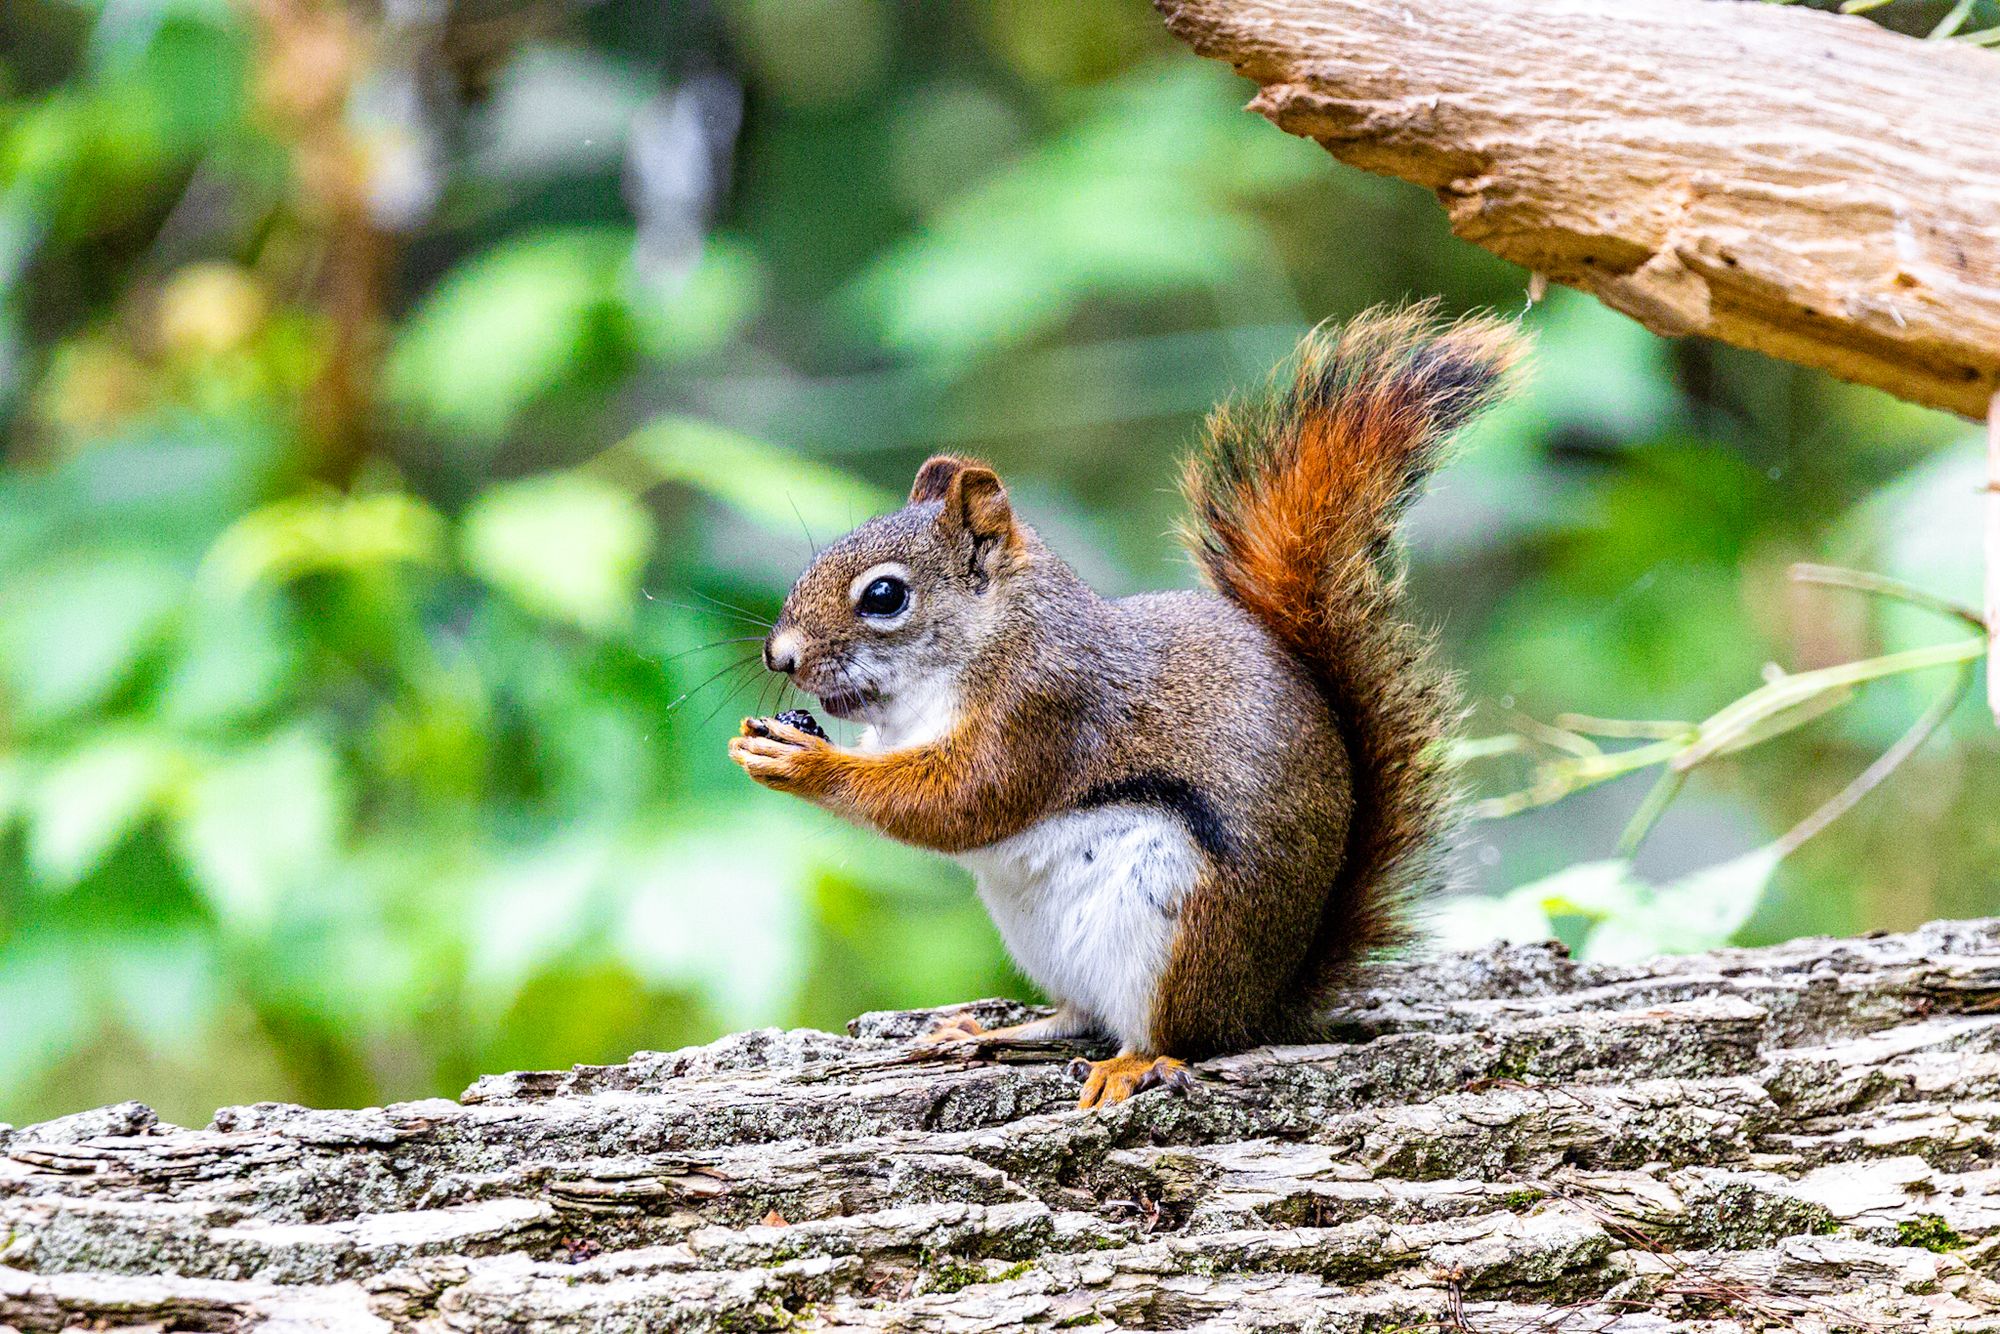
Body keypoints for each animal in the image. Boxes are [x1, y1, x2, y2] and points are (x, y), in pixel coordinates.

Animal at [728, 308, 1520, 1112]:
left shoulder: (1042, 708)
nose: (779, 656)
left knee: (1173, 1035)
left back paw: (1132, 1063)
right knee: (1081, 1016)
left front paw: (804, 762)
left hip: (1177, 927)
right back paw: (991, 1031)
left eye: (885, 596)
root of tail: (1265, 1003)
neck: (984, 644)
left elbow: (962, 801)